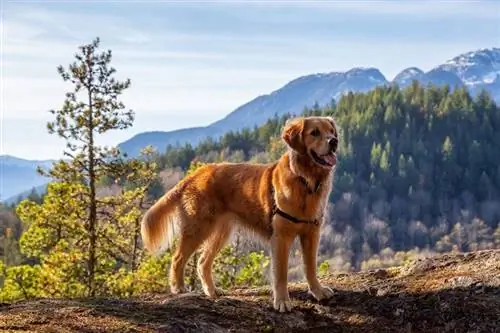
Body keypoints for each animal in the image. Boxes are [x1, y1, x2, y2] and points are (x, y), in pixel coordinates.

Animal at [139, 115, 338, 312]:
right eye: (314, 132)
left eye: (331, 131)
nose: (334, 141)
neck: (305, 180)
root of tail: (196, 173)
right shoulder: (281, 237)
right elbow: (281, 274)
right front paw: (282, 301)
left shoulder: (312, 233)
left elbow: (310, 267)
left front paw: (318, 291)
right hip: (198, 228)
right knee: (178, 258)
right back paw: (179, 288)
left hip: (221, 232)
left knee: (202, 262)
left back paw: (212, 291)